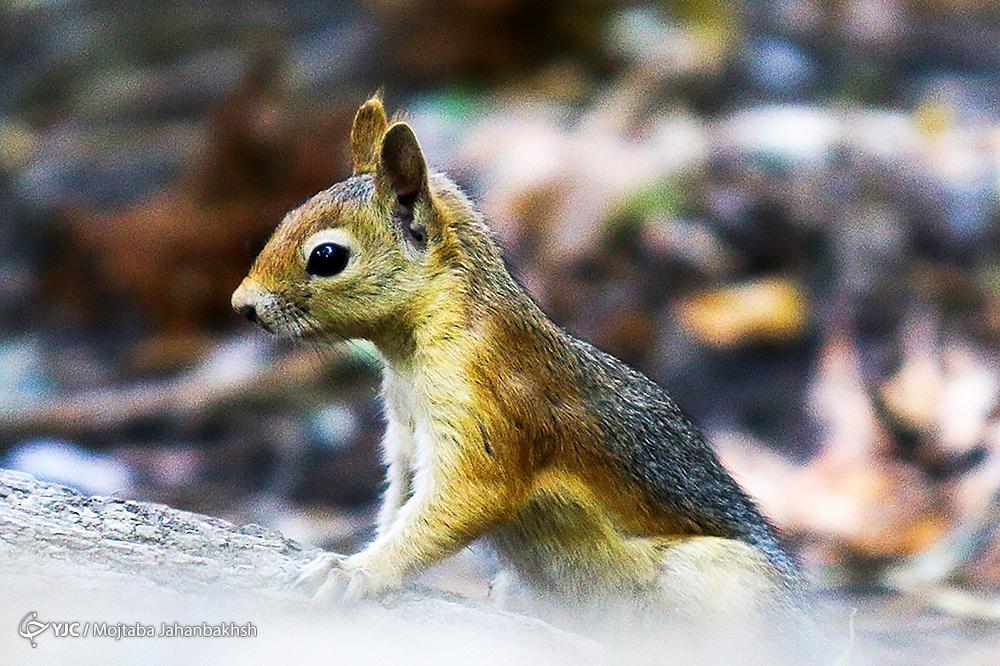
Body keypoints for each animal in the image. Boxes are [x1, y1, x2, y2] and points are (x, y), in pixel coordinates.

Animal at [230, 94, 800, 624]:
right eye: (286, 216)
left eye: (327, 257)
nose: (243, 305)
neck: (413, 348)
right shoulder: (407, 436)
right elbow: (400, 502)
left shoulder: (487, 392)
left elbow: (469, 495)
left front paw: (357, 570)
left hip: (721, 578)